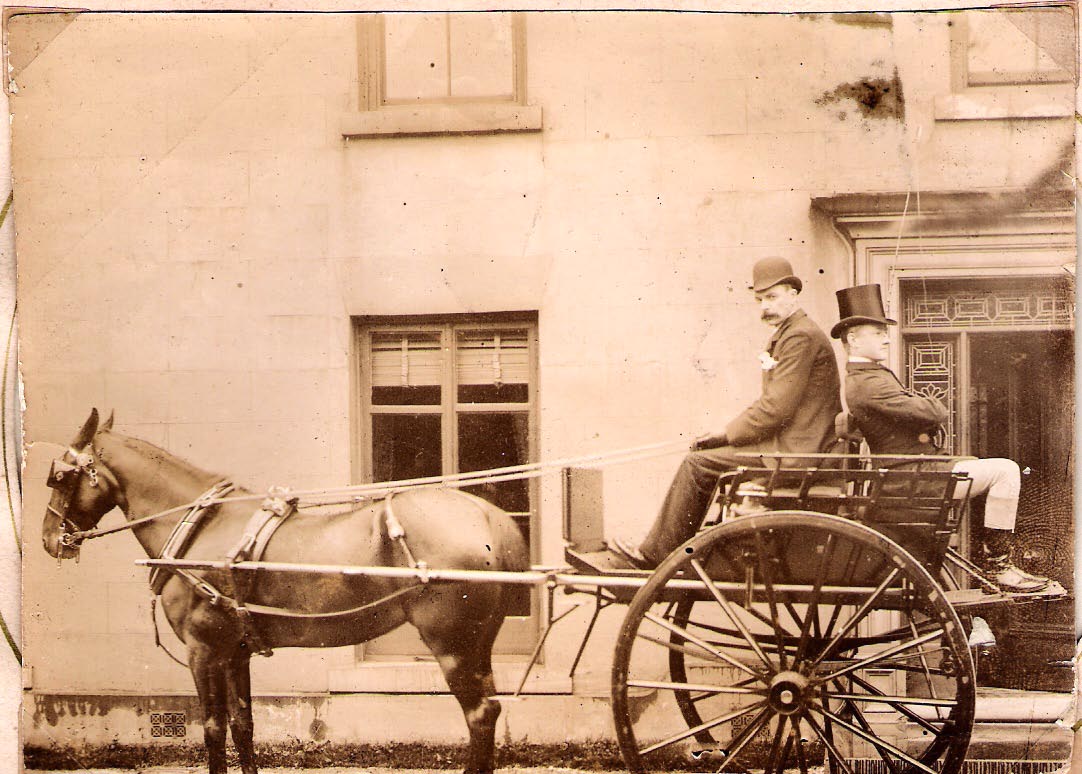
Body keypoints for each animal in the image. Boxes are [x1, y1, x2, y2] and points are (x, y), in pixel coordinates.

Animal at [41, 409, 528, 770]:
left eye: (59, 476)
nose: (49, 539)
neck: (201, 528)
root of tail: (490, 518)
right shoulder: (235, 652)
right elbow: (243, 725)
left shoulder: (203, 651)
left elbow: (213, 729)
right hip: (478, 646)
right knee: (490, 710)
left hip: (453, 645)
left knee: (479, 715)